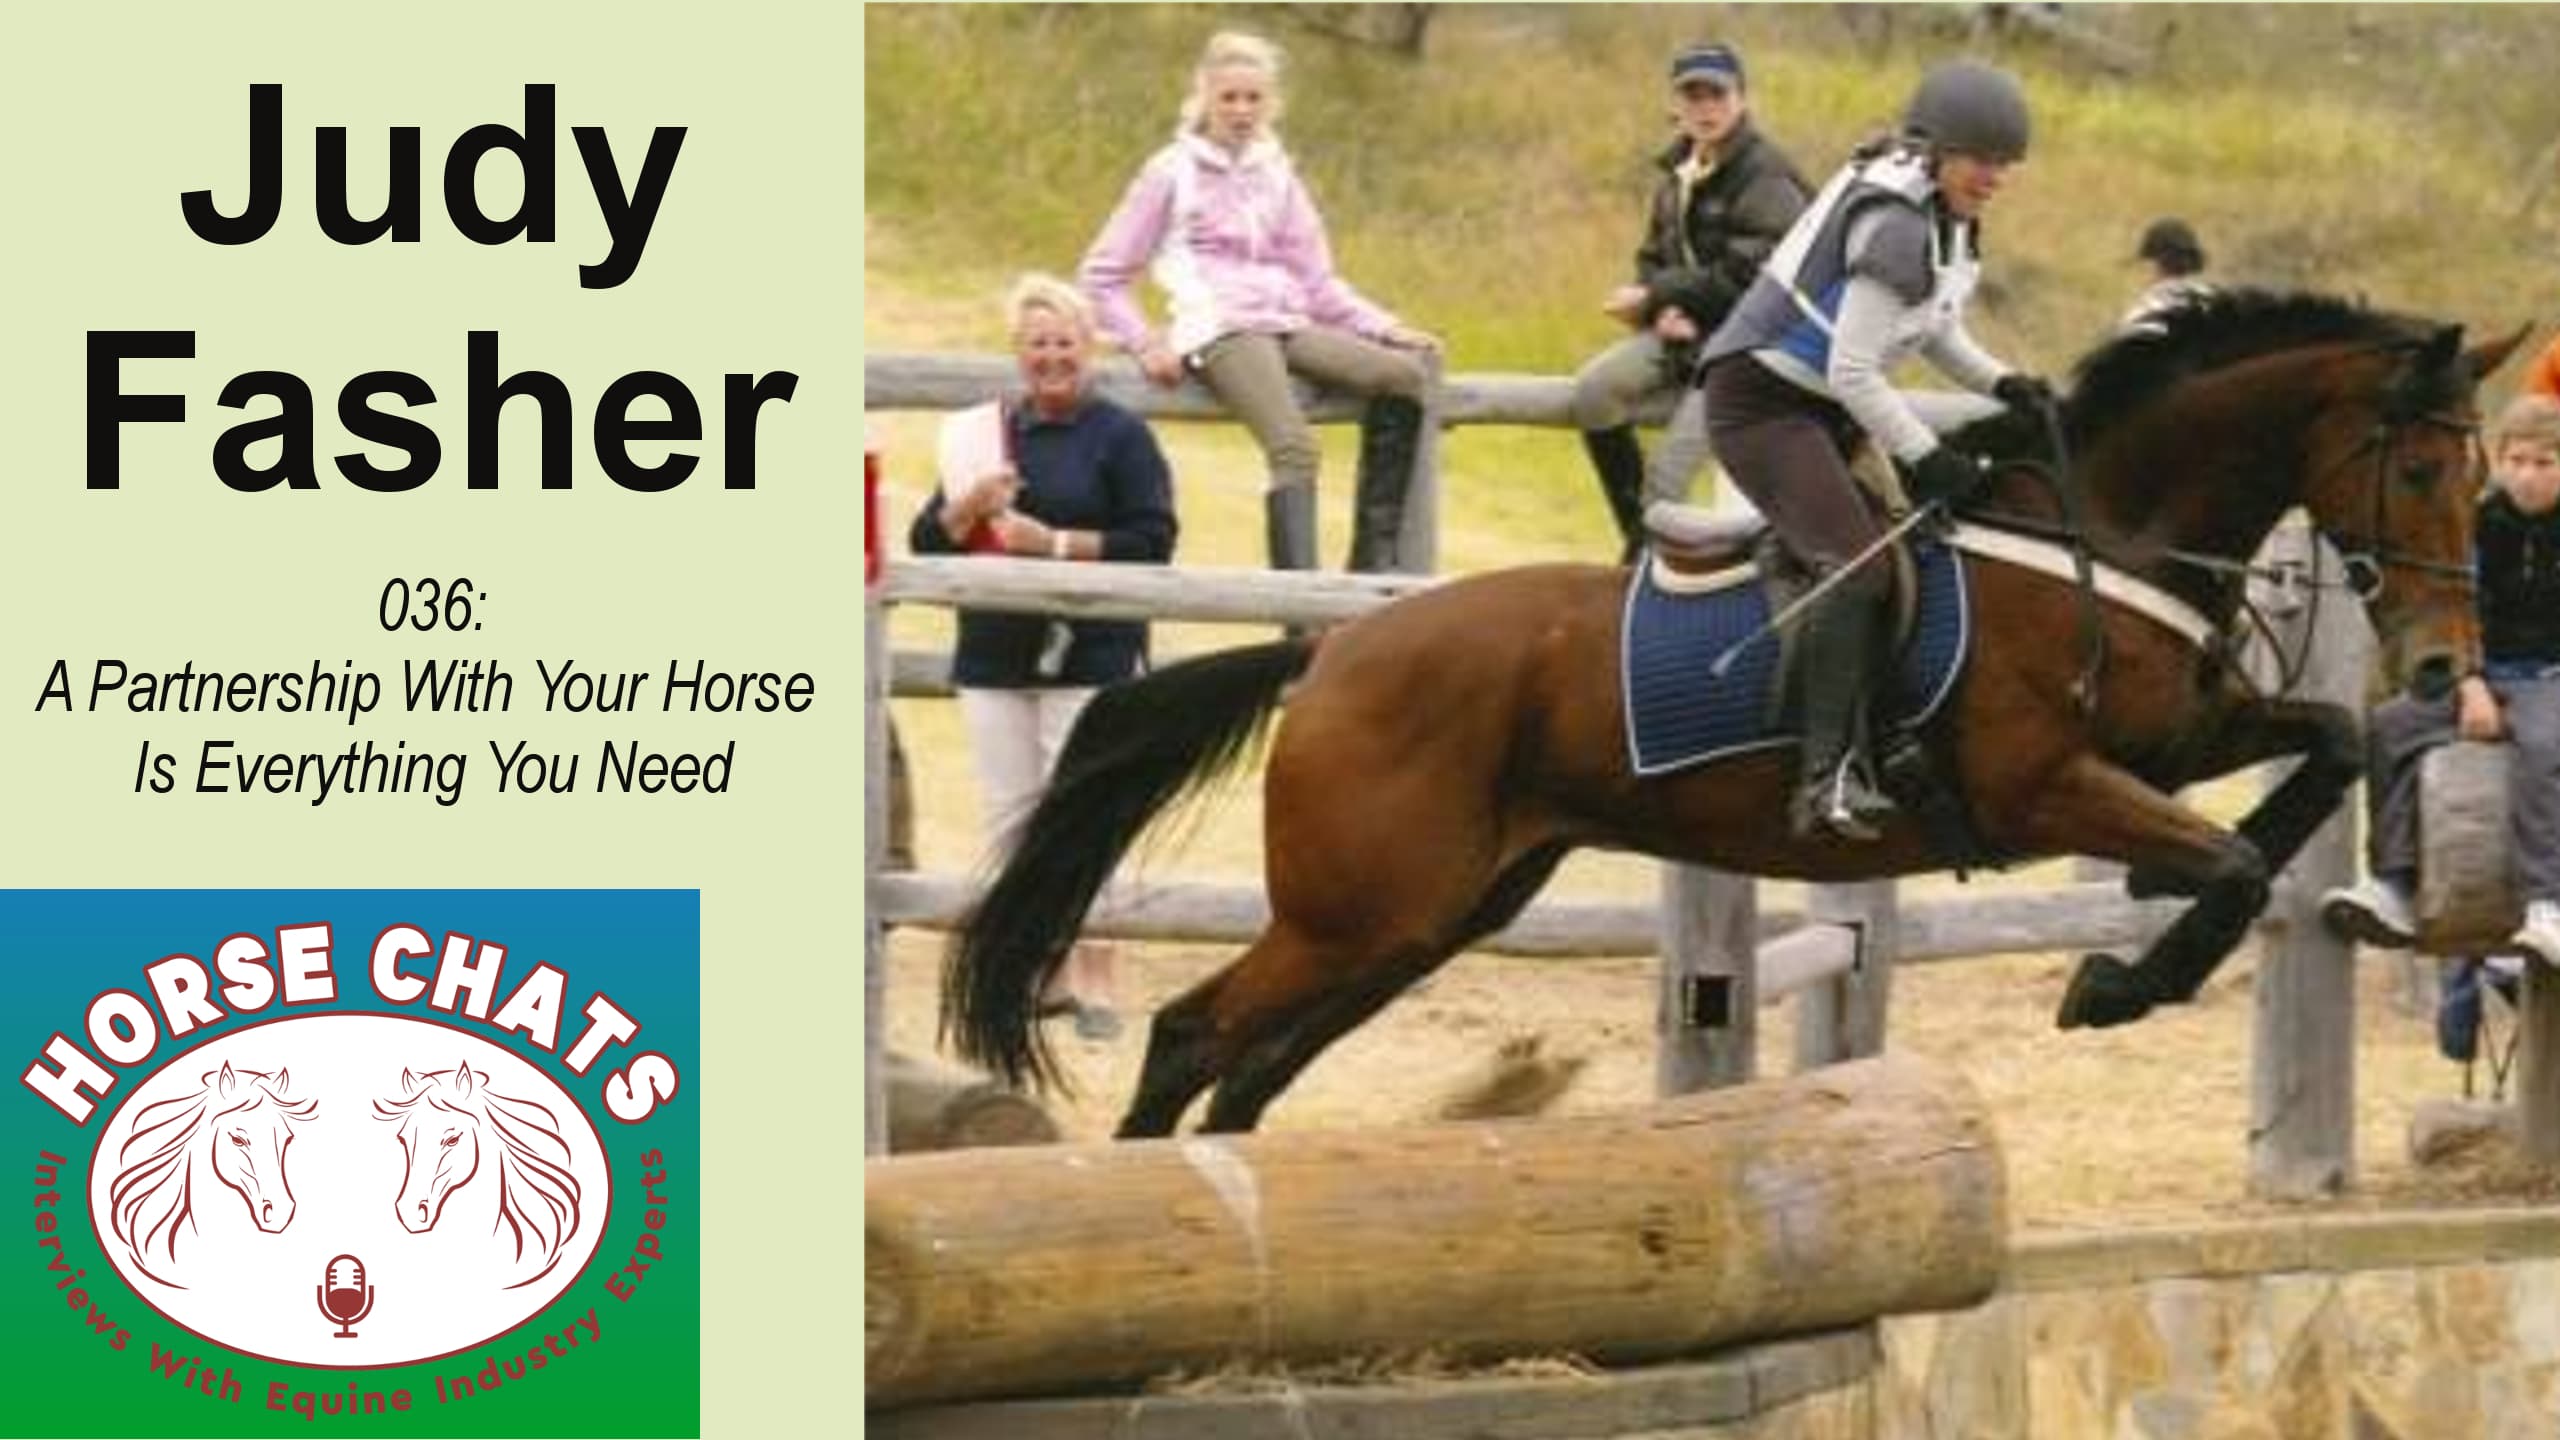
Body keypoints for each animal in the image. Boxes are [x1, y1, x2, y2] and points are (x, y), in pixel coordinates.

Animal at [946, 290, 2526, 1137]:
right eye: (2419, 470)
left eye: (2474, 476)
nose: (2444, 669)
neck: (2105, 531)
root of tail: (1333, 655)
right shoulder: (2040, 785)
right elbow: (2240, 858)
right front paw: (2113, 982)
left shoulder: (2175, 743)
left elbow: (2319, 757)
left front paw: (2150, 929)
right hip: (1358, 913)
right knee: (1193, 1039)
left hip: (1426, 918)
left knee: (1254, 1067)